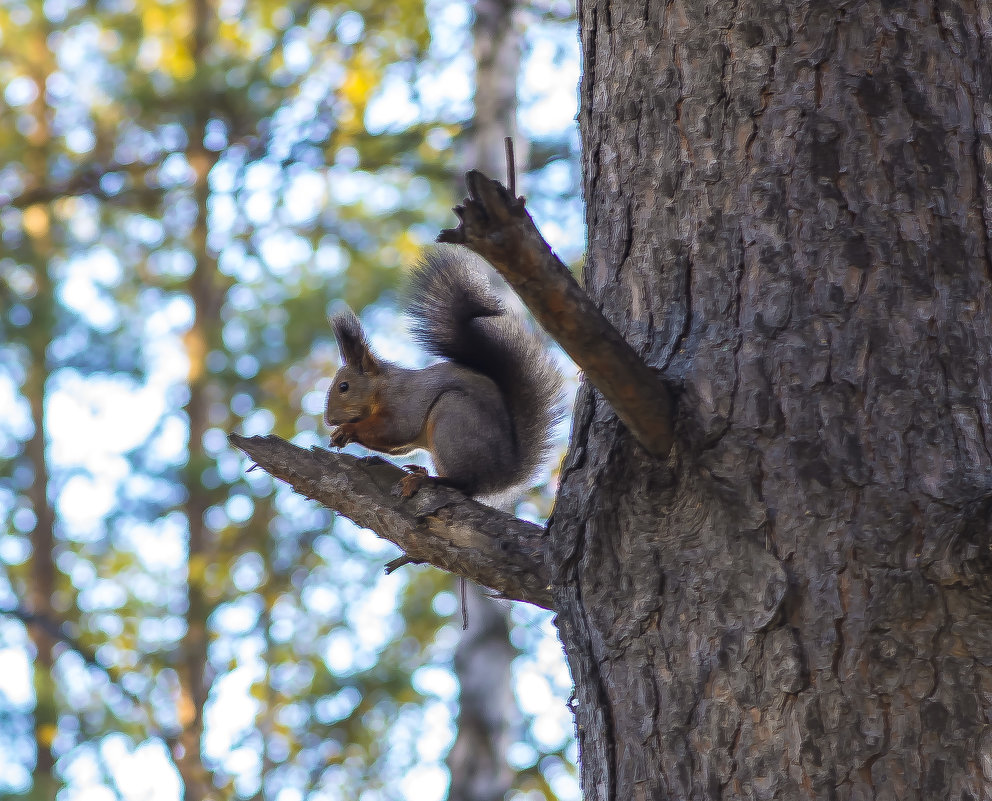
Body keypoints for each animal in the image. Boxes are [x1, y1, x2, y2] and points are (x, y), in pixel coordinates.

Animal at [324, 244, 560, 496]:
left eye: (344, 386)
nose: (329, 420)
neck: (380, 387)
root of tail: (502, 477)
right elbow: (398, 446)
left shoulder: (403, 400)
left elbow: (396, 429)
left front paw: (347, 429)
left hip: (452, 418)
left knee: (466, 483)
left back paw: (430, 479)